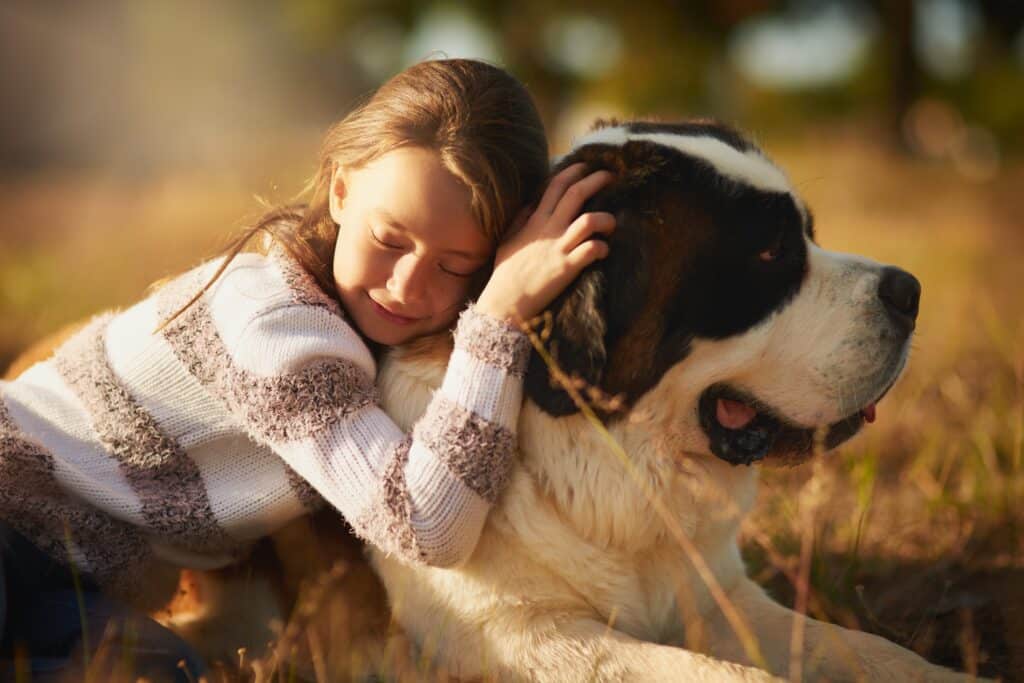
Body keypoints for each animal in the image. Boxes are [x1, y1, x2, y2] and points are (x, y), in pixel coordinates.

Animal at [364, 120, 970, 679]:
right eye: (772, 252)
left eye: (809, 233)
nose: (909, 291)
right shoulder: (520, 635)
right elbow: (725, 672)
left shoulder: (725, 599)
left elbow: (868, 650)